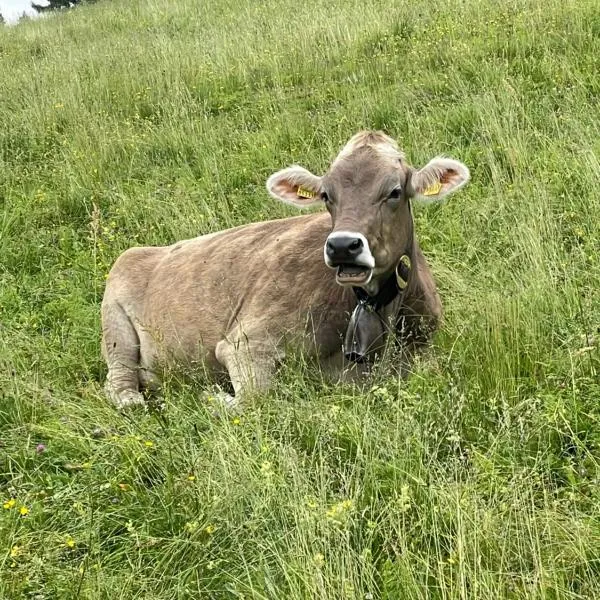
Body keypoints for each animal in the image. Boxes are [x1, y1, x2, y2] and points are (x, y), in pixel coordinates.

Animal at [102, 132, 468, 410]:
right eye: (326, 195)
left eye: (394, 191)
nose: (342, 246)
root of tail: (144, 250)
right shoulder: (246, 342)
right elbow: (255, 399)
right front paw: (211, 396)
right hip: (115, 324)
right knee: (119, 382)